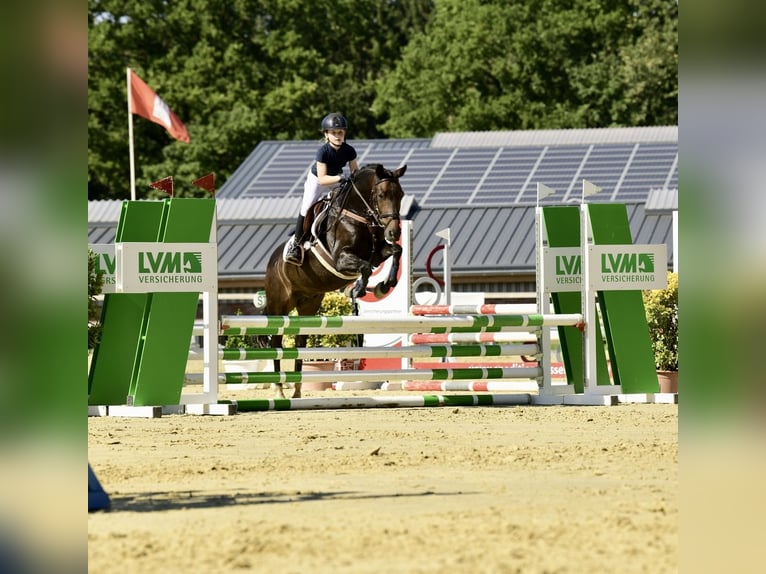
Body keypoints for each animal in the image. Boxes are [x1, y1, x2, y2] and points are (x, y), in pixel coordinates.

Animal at [260, 162, 404, 396]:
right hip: (278, 305)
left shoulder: (377, 254)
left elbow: (397, 251)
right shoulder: (341, 259)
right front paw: (358, 289)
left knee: (300, 342)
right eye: (382, 194)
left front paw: (384, 285)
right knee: (277, 343)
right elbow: (365, 268)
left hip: (308, 305)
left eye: (400, 194)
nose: (394, 232)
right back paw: (279, 390)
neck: (358, 216)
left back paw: (297, 392)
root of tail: (272, 263)